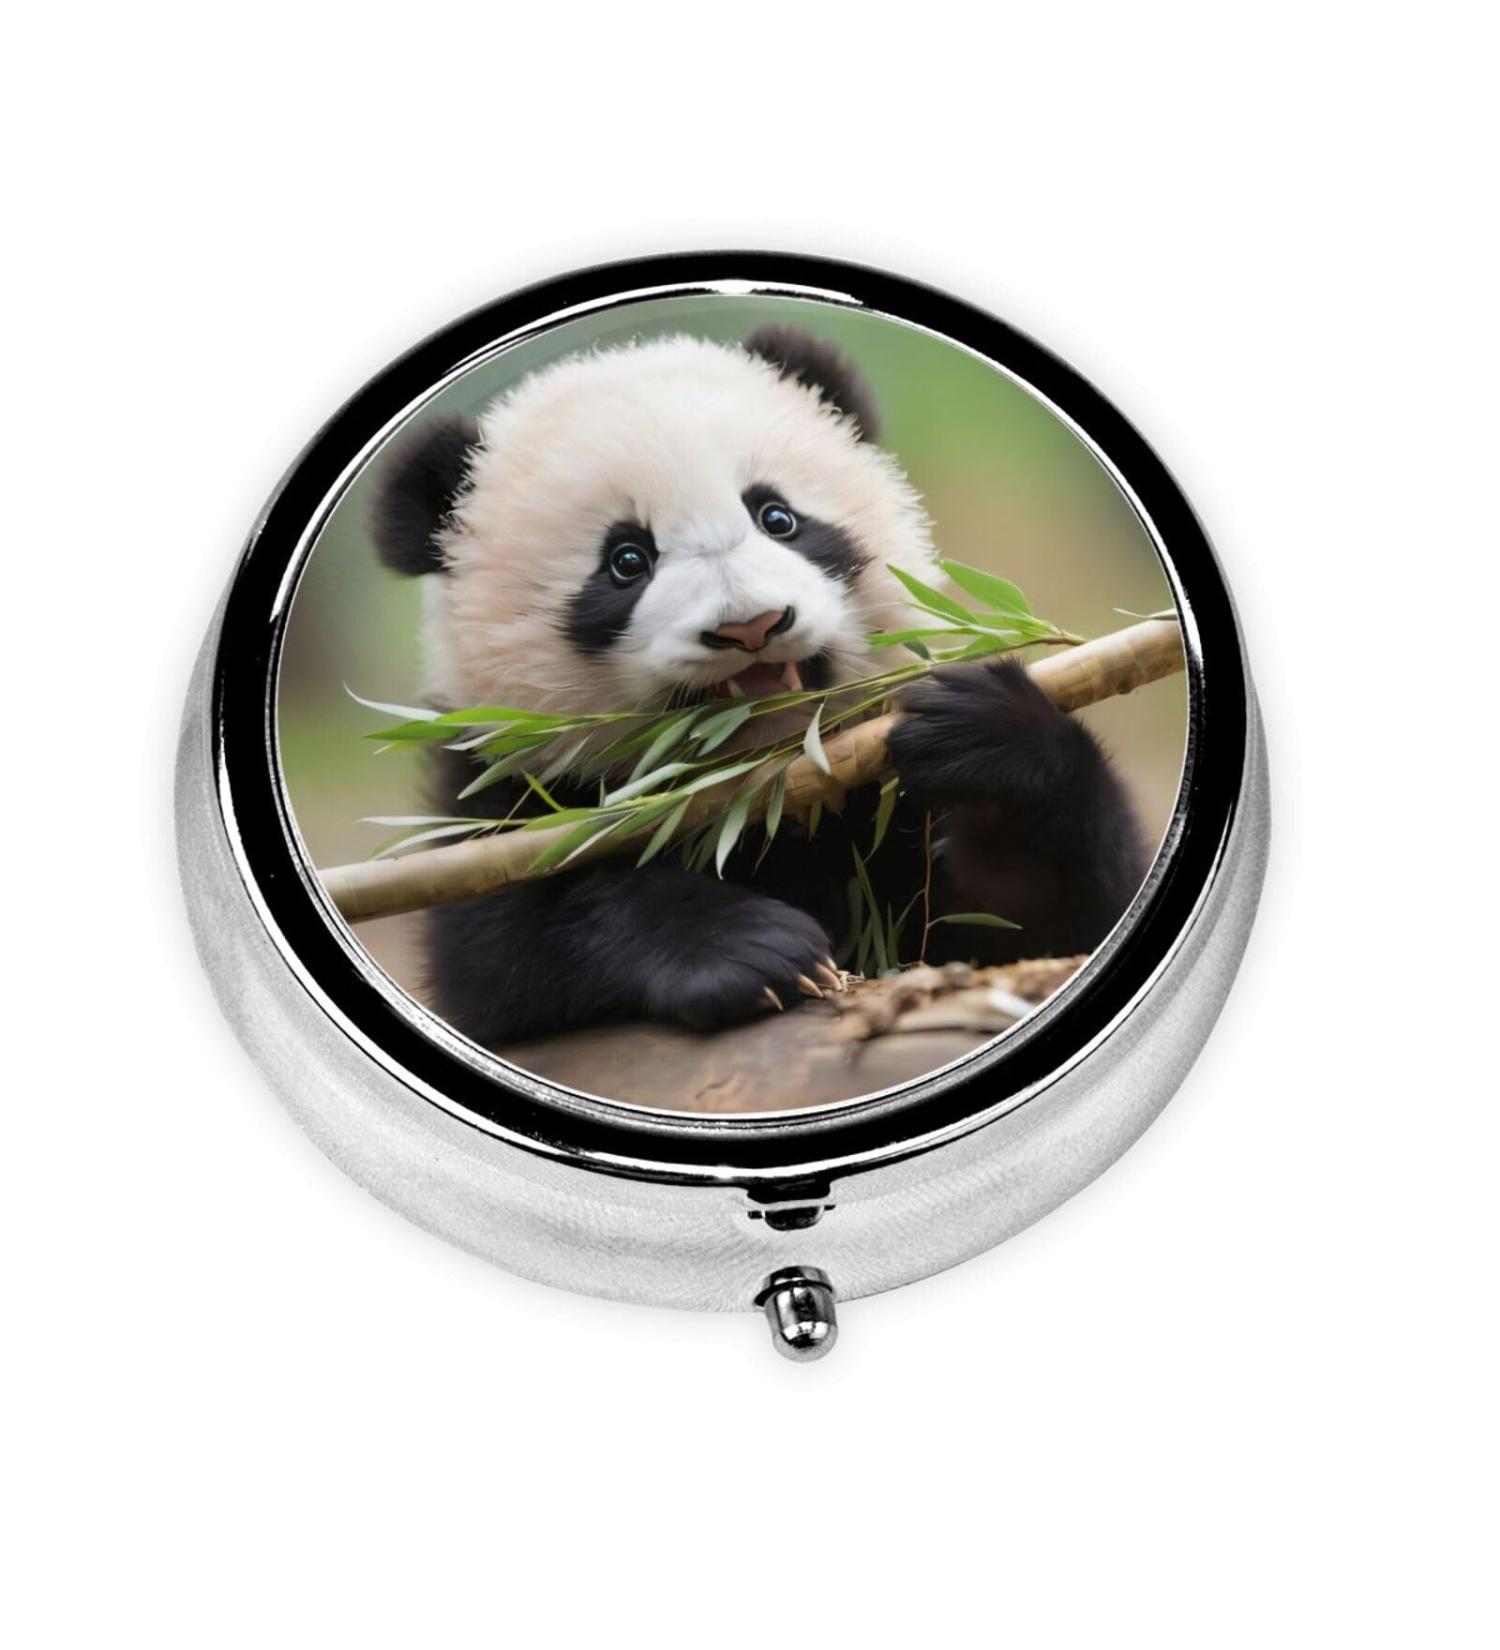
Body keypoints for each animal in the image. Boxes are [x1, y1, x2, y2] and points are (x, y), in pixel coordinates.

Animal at [370, 327, 1147, 1049]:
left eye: (778, 518)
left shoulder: (886, 809)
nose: (751, 626)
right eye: (627, 561)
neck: (774, 797)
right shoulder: (497, 799)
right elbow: (504, 952)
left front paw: (989, 741)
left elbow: (1044, 921)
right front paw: (752, 951)